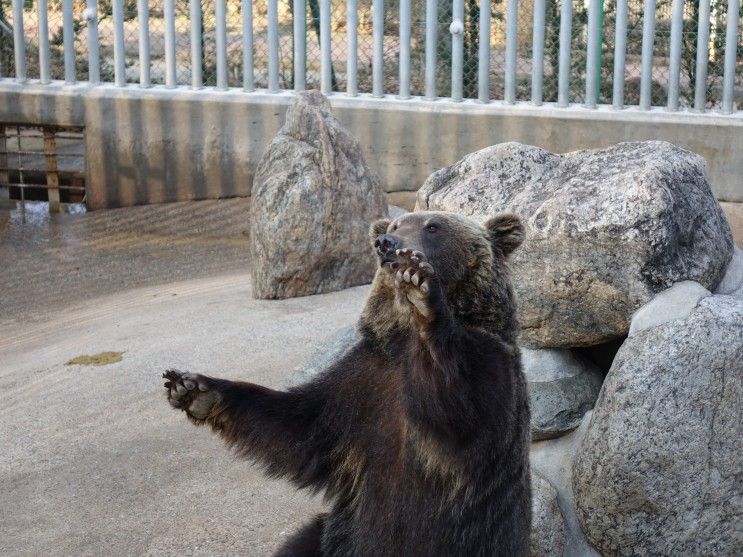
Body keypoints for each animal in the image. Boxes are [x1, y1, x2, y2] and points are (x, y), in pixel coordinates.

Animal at [166, 210, 532, 556]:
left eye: (433, 226)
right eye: (396, 224)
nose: (387, 243)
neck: (403, 343)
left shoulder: (492, 372)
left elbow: (458, 405)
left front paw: (421, 289)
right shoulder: (361, 382)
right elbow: (300, 426)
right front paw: (194, 389)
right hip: (336, 535)